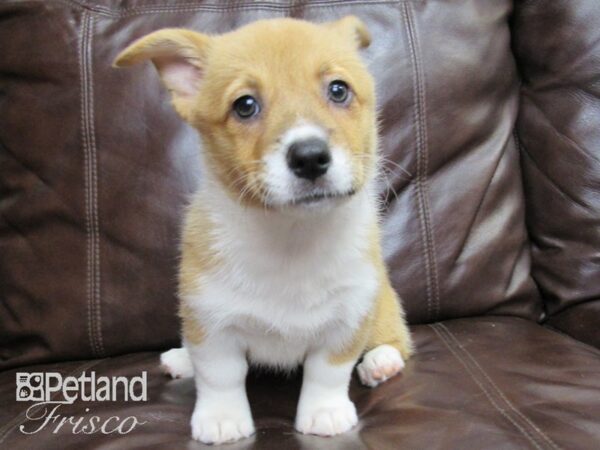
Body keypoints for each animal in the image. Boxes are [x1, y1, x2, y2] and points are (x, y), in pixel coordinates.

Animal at [113, 16, 412, 442]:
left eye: (338, 90)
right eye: (245, 105)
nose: (310, 158)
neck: (290, 235)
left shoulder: (347, 318)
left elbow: (327, 372)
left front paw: (324, 413)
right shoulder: (210, 320)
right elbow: (220, 375)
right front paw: (222, 419)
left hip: (382, 303)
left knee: (393, 337)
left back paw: (381, 361)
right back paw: (181, 359)